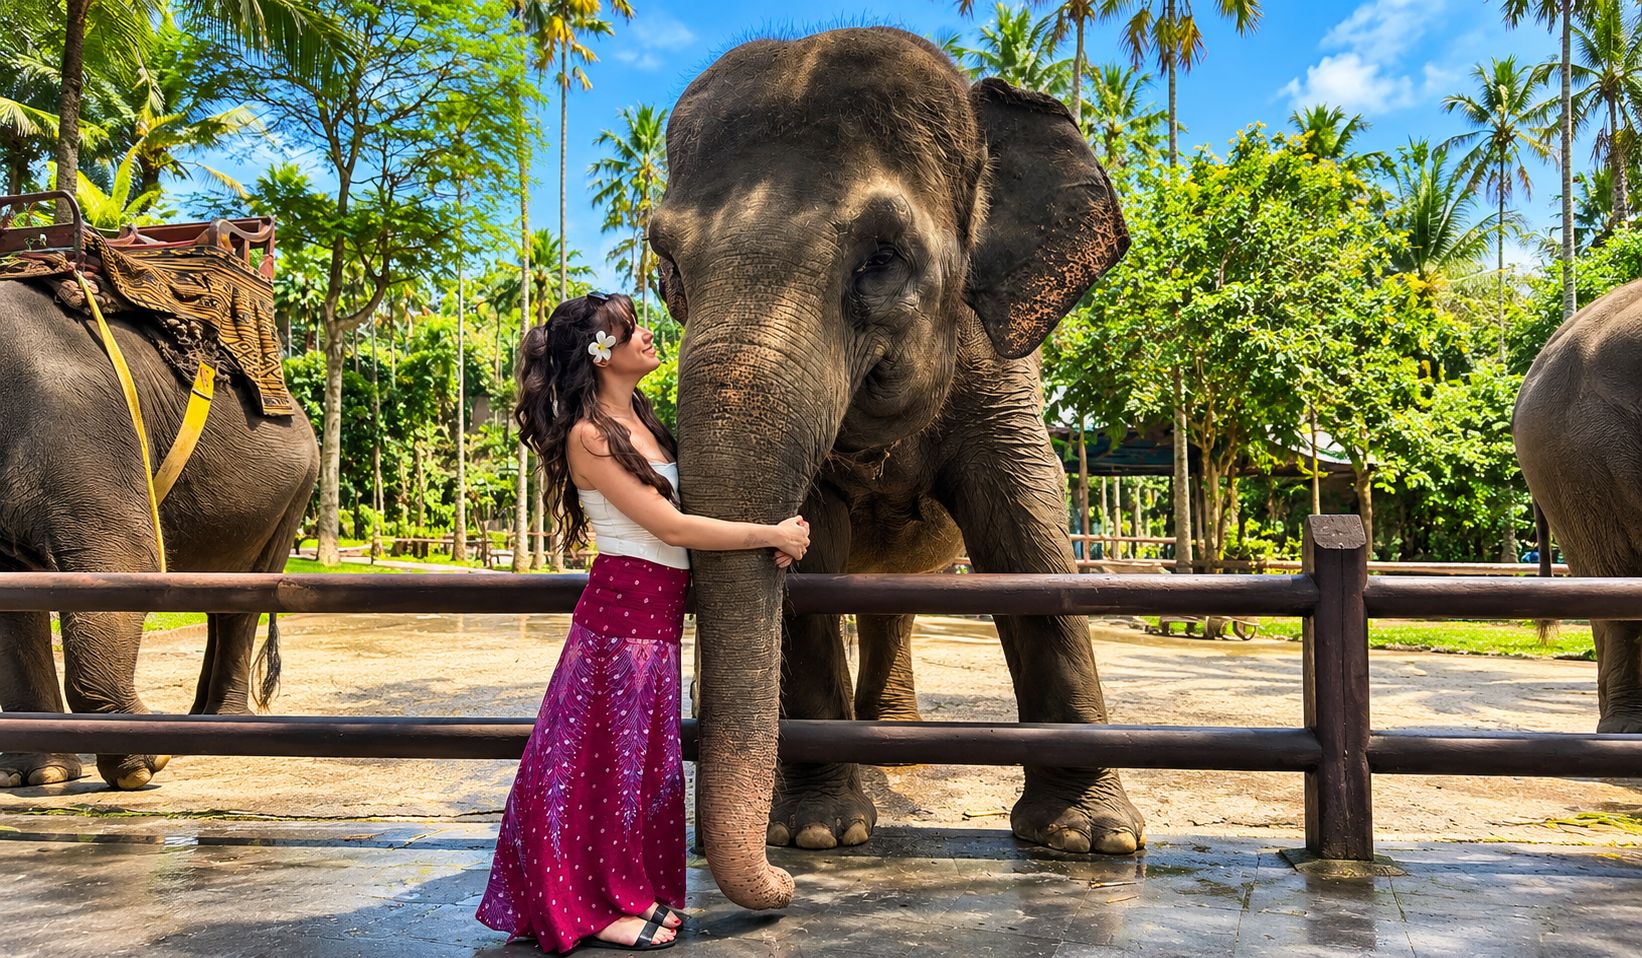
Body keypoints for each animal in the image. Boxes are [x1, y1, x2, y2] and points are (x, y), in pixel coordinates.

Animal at [0, 279, 318, 789]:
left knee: (244, 601)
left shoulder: (82, 433)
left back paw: (220, 726)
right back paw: (197, 723)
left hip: (293, 496)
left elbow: (124, 564)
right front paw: (40, 775)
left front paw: (140, 769)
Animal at [654, 27, 1143, 909]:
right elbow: (810, 553)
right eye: (666, 262)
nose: (781, 887)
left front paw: (1091, 840)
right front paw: (815, 833)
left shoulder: (999, 370)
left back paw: (900, 746)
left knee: (900, 599)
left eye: (883, 259)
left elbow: (1026, 528)